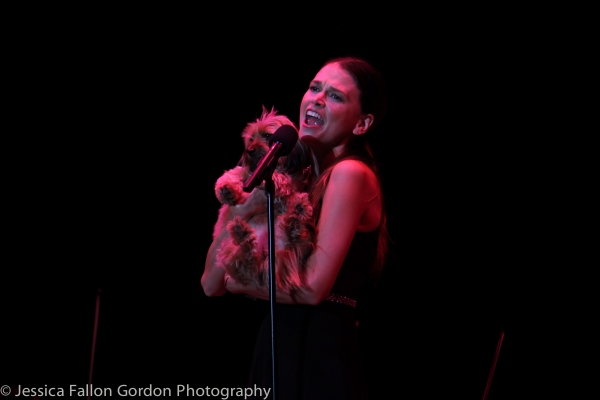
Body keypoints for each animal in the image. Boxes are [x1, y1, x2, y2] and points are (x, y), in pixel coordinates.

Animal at [213, 105, 316, 294]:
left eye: (268, 136)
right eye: (251, 139)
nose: (250, 150)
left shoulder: (293, 182)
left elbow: (285, 181)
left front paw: (277, 178)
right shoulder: (247, 173)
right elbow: (238, 172)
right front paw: (226, 188)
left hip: (282, 244)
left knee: (291, 236)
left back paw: (297, 211)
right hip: (227, 248)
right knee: (245, 261)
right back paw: (243, 235)